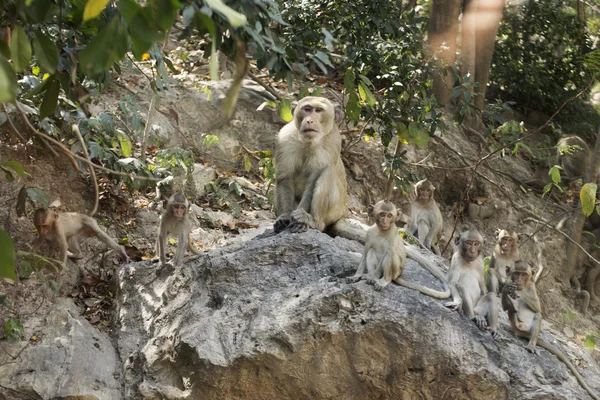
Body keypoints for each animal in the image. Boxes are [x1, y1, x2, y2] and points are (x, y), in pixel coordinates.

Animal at [274, 96, 366, 244]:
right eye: (307, 109)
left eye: (319, 110)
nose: (309, 120)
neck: (309, 142)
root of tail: (341, 215)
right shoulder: (285, 139)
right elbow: (284, 177)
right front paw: (285, 216)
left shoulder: (332, 142)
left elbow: (314, 179)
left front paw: (300, 221)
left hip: (334, 212)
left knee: (327, 172)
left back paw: (313, 221)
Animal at [502, 260, 600, 398]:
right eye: (516, 273)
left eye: (524, 275)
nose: (519, 280)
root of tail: (520, 331)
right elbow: (505, 306)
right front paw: (509, 287)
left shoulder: (532, 287)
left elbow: (537, 308)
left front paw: (518, 290)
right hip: (516, 326)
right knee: (512, 310)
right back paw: (516, 317)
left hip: (529, 329)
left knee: (538, 315)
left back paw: (532, 343)